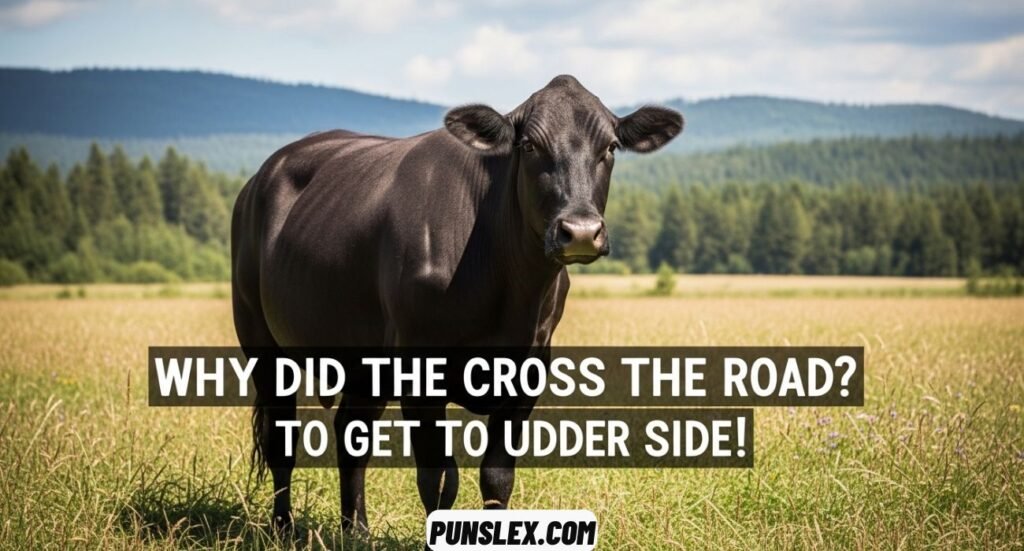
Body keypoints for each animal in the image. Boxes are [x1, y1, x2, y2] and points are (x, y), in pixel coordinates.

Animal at [231, 74, 683, 536]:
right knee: (281, 439)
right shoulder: (418, 369)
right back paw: (283, 526)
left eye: (610, 147)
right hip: (259, 337)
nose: (580, 231)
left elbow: (497, 477)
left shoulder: (531, 369)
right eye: (528, 145)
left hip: (363, 357)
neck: (511, 294)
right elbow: (437, 478)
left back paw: (355, 530)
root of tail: (263, 175)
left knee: (350, 435)